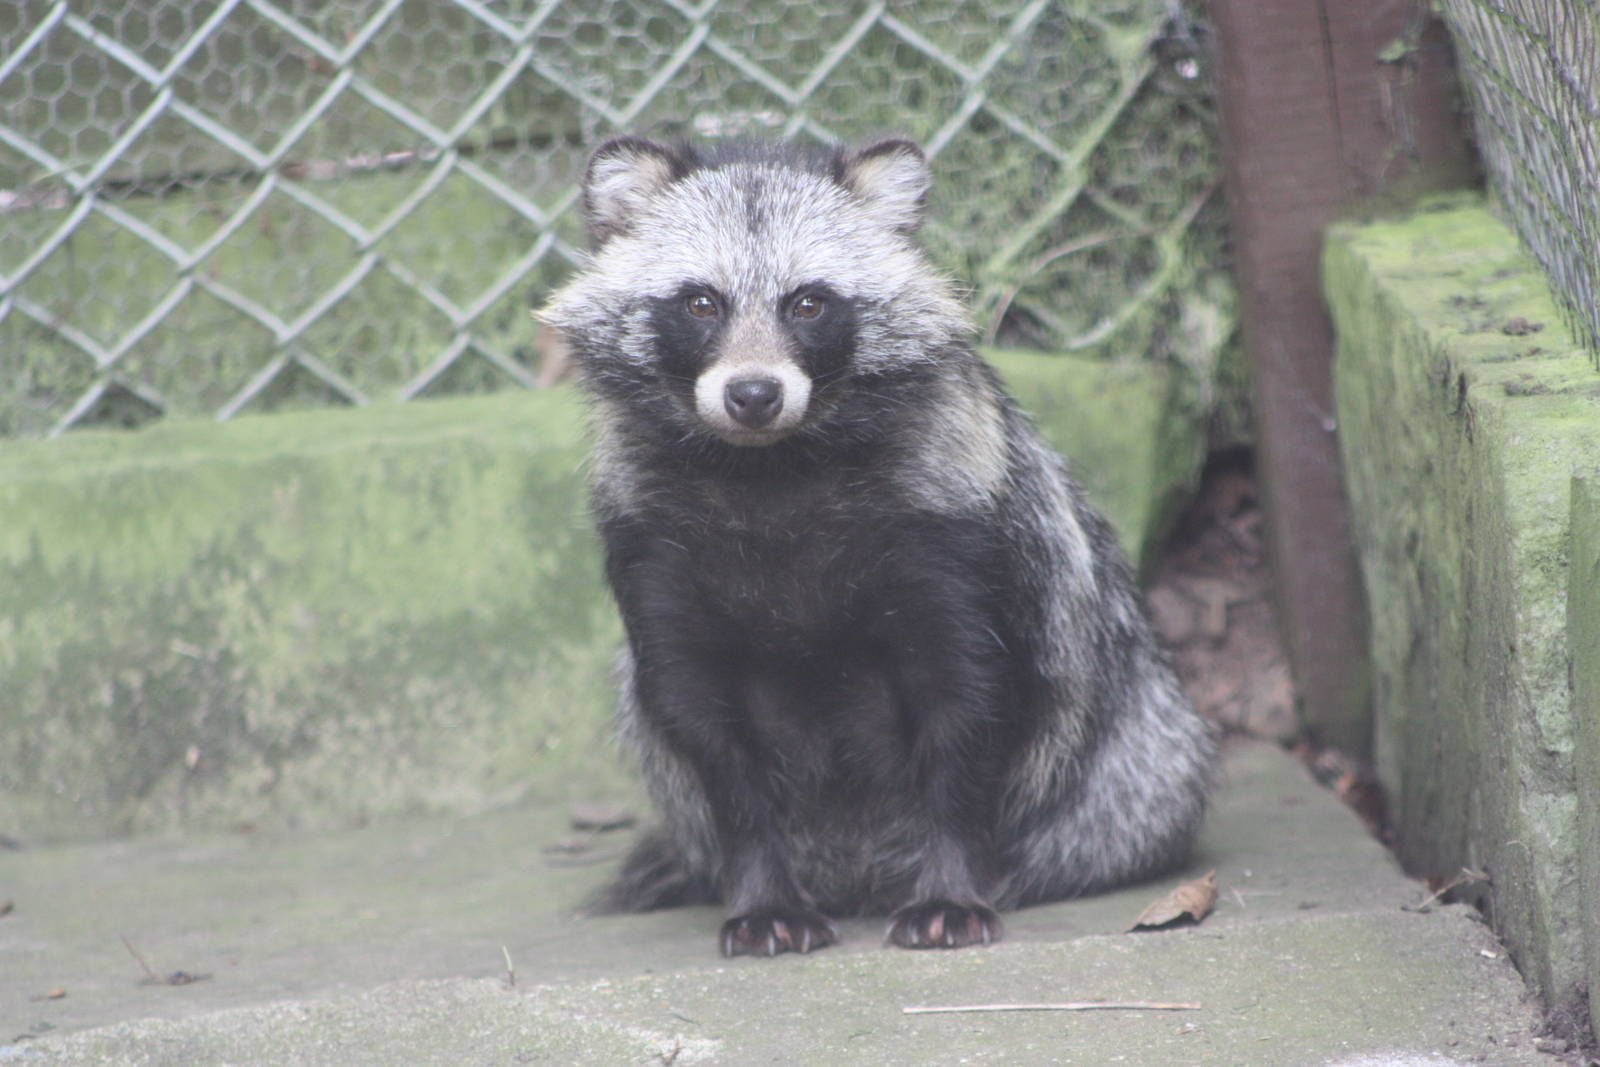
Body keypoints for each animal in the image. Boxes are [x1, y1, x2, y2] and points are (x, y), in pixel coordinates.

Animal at [541, 136, 1216, 958]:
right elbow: (704, 728)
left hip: (1134, 771)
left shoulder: (954, 523)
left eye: (808, 302)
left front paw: (951, 882)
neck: (769, 469)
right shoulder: (651, 544)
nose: (754, 394)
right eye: (701, 302)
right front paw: (760, 888)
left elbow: (967, 702)